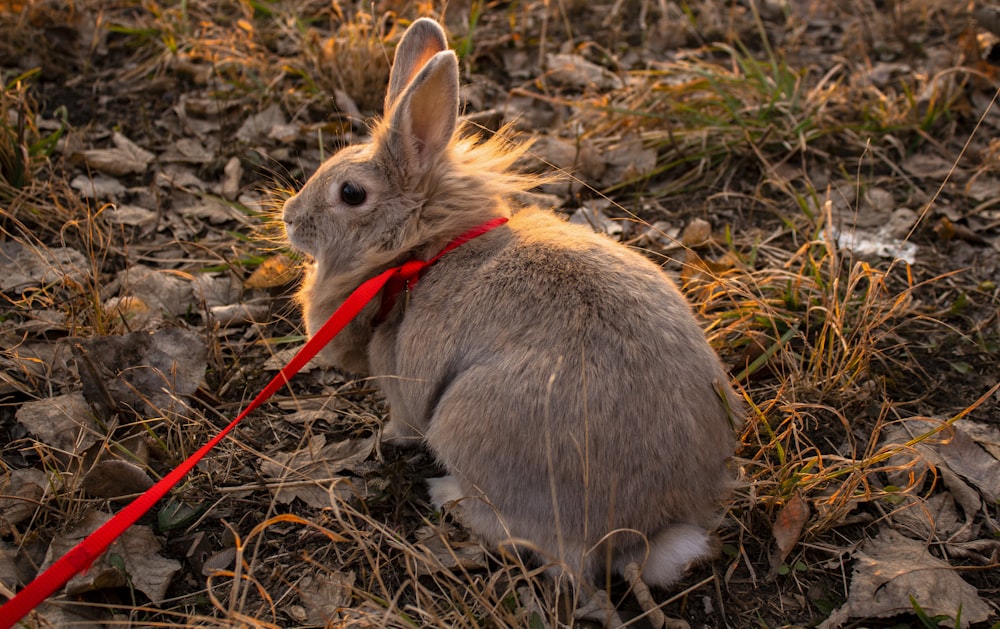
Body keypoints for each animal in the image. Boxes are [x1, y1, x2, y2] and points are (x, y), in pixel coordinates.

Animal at [282, 17, 744, 592]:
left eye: (350, 193)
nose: (289, 217)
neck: (422, 252)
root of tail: (642, 533)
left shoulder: (402, 384)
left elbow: (404, 422)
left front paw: (388, 439)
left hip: (465, 422)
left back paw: (445, 494)